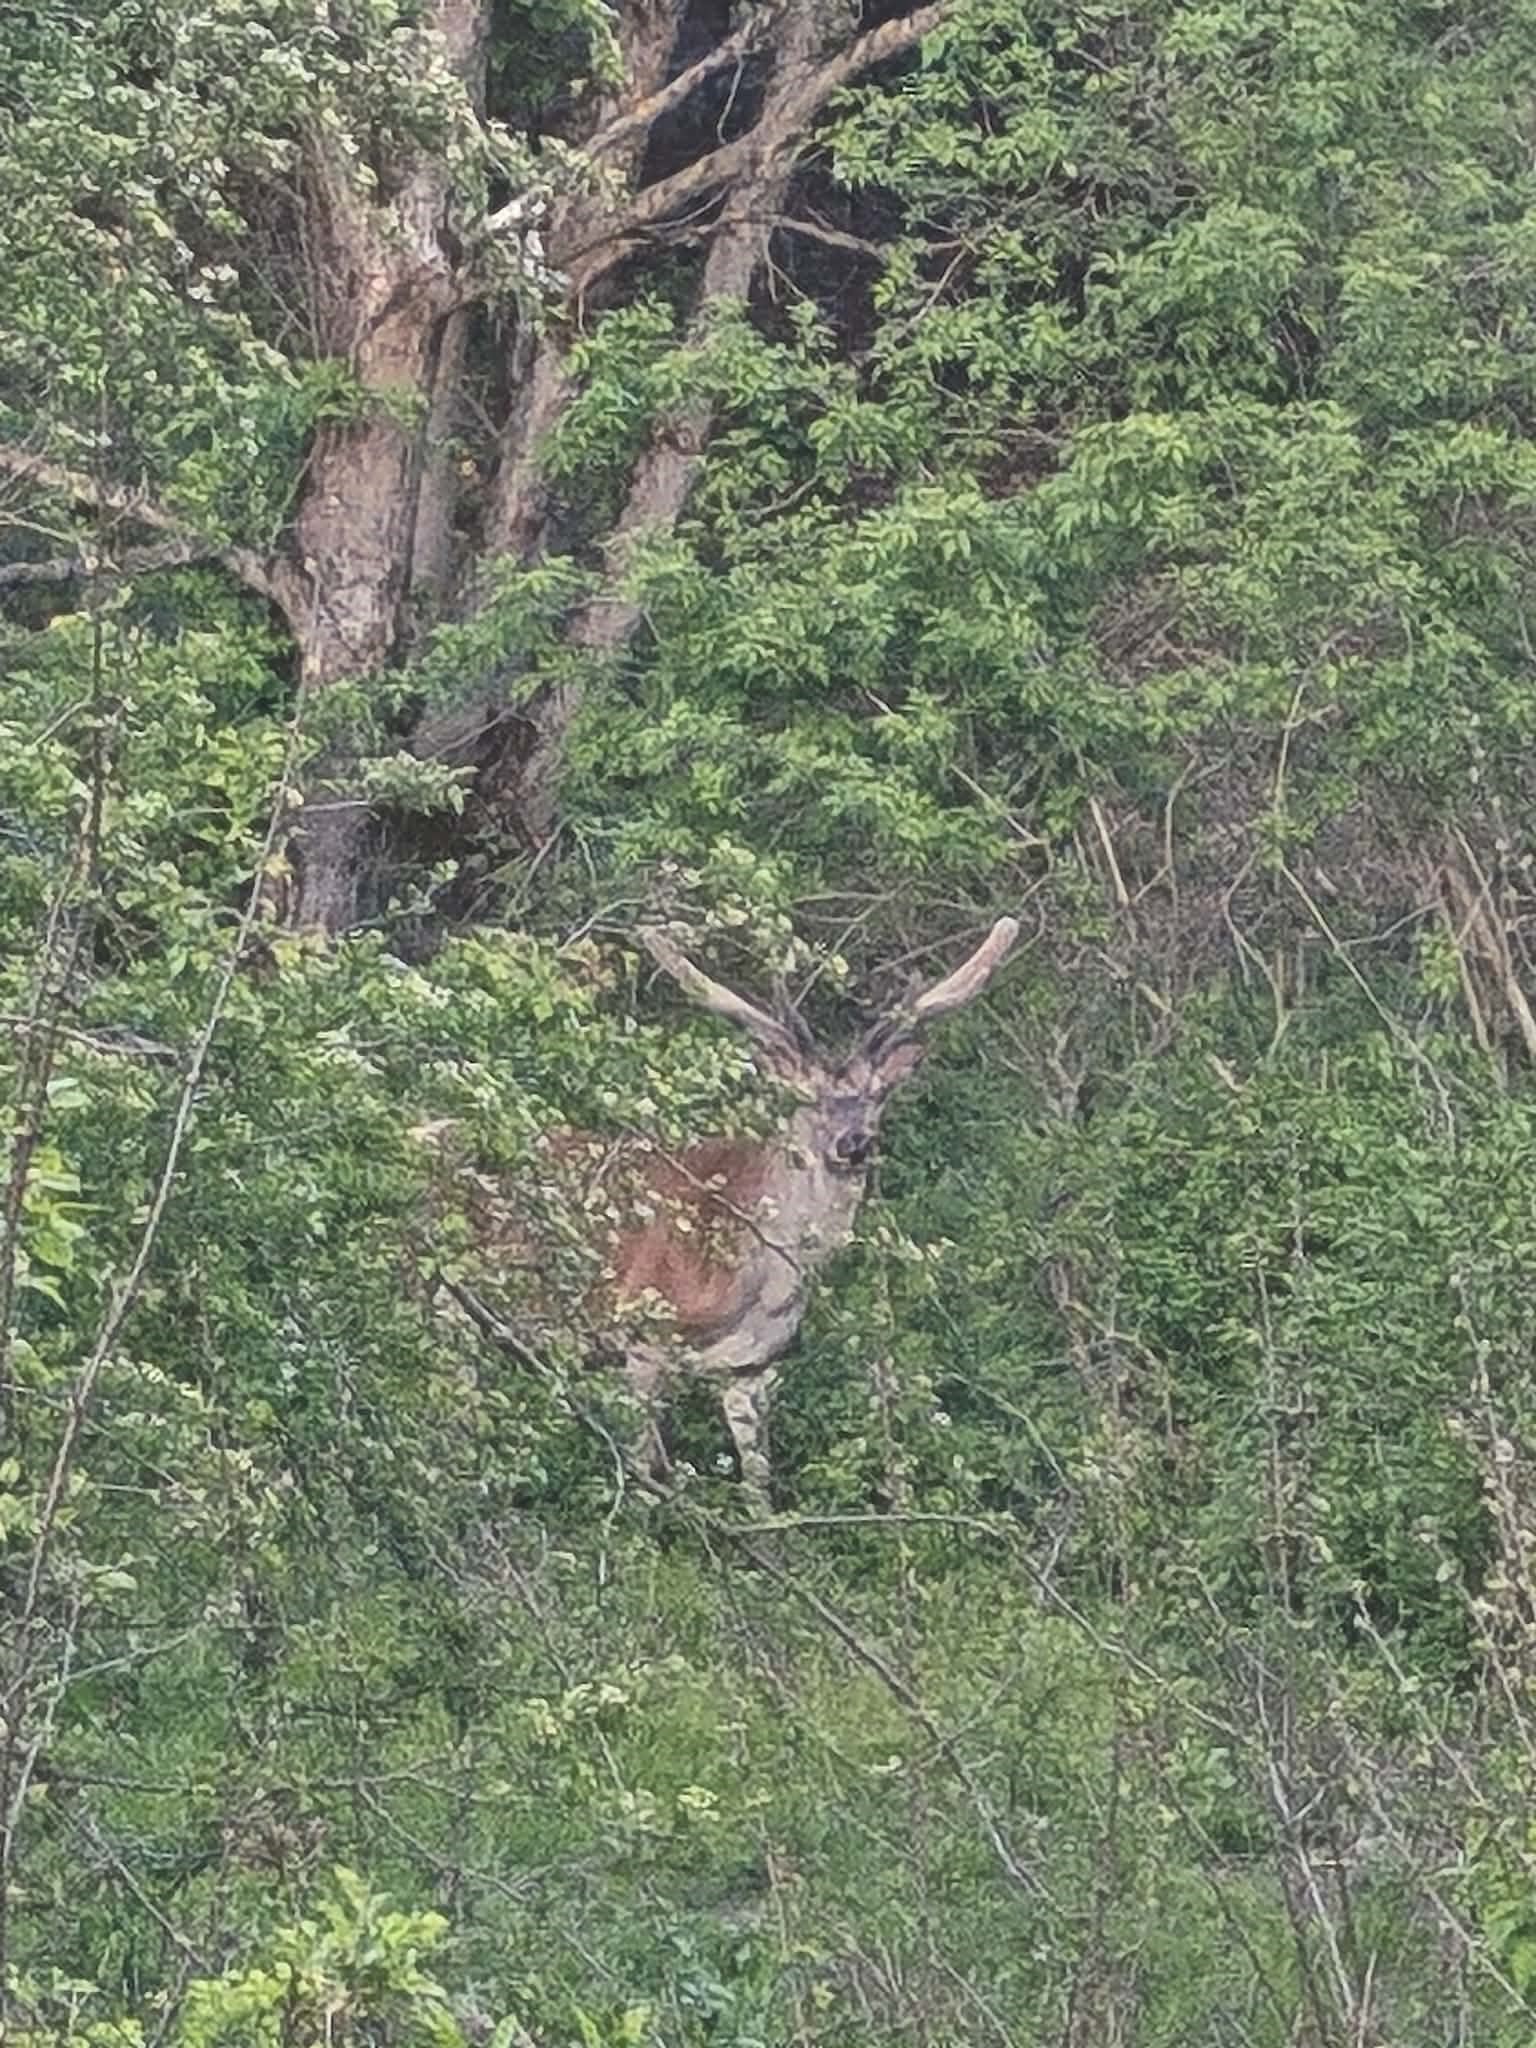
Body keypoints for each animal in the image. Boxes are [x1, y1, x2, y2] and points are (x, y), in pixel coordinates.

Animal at [445, 917, 1019, 1503]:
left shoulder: (753, 1368)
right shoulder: (640, 1333)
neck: (757, 1283)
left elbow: (759, 1483)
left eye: (878, 1095)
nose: (854, 1143)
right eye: (803, 1097)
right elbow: (643, 1468)